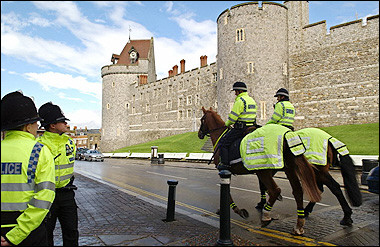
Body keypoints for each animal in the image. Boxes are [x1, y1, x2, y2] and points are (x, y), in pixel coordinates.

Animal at [197, 106, 322, 235]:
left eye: (202, 120)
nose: (199, 134)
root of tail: (285, 134)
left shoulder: (225, 171)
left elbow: (228, 193)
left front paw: (238, 210)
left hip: (264, 170)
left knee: (275, 190)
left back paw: (266, 216)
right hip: (288, 168)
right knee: (297, 192)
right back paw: (298, 225)